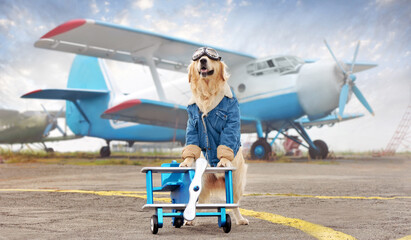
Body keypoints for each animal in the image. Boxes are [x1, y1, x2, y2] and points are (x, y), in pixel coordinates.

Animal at [179, 47, 249, 226]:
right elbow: (191, 144)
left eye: (210, 57)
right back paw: (190, 220)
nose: (203, 60)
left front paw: (223, 161)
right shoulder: (193, 122)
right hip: (201, 181)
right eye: (198, 58)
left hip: (236, 182)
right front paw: (186, 161)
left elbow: (227, 140)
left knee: (234, 203)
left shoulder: (230, 119)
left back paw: (240, 219)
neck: (207, 91)